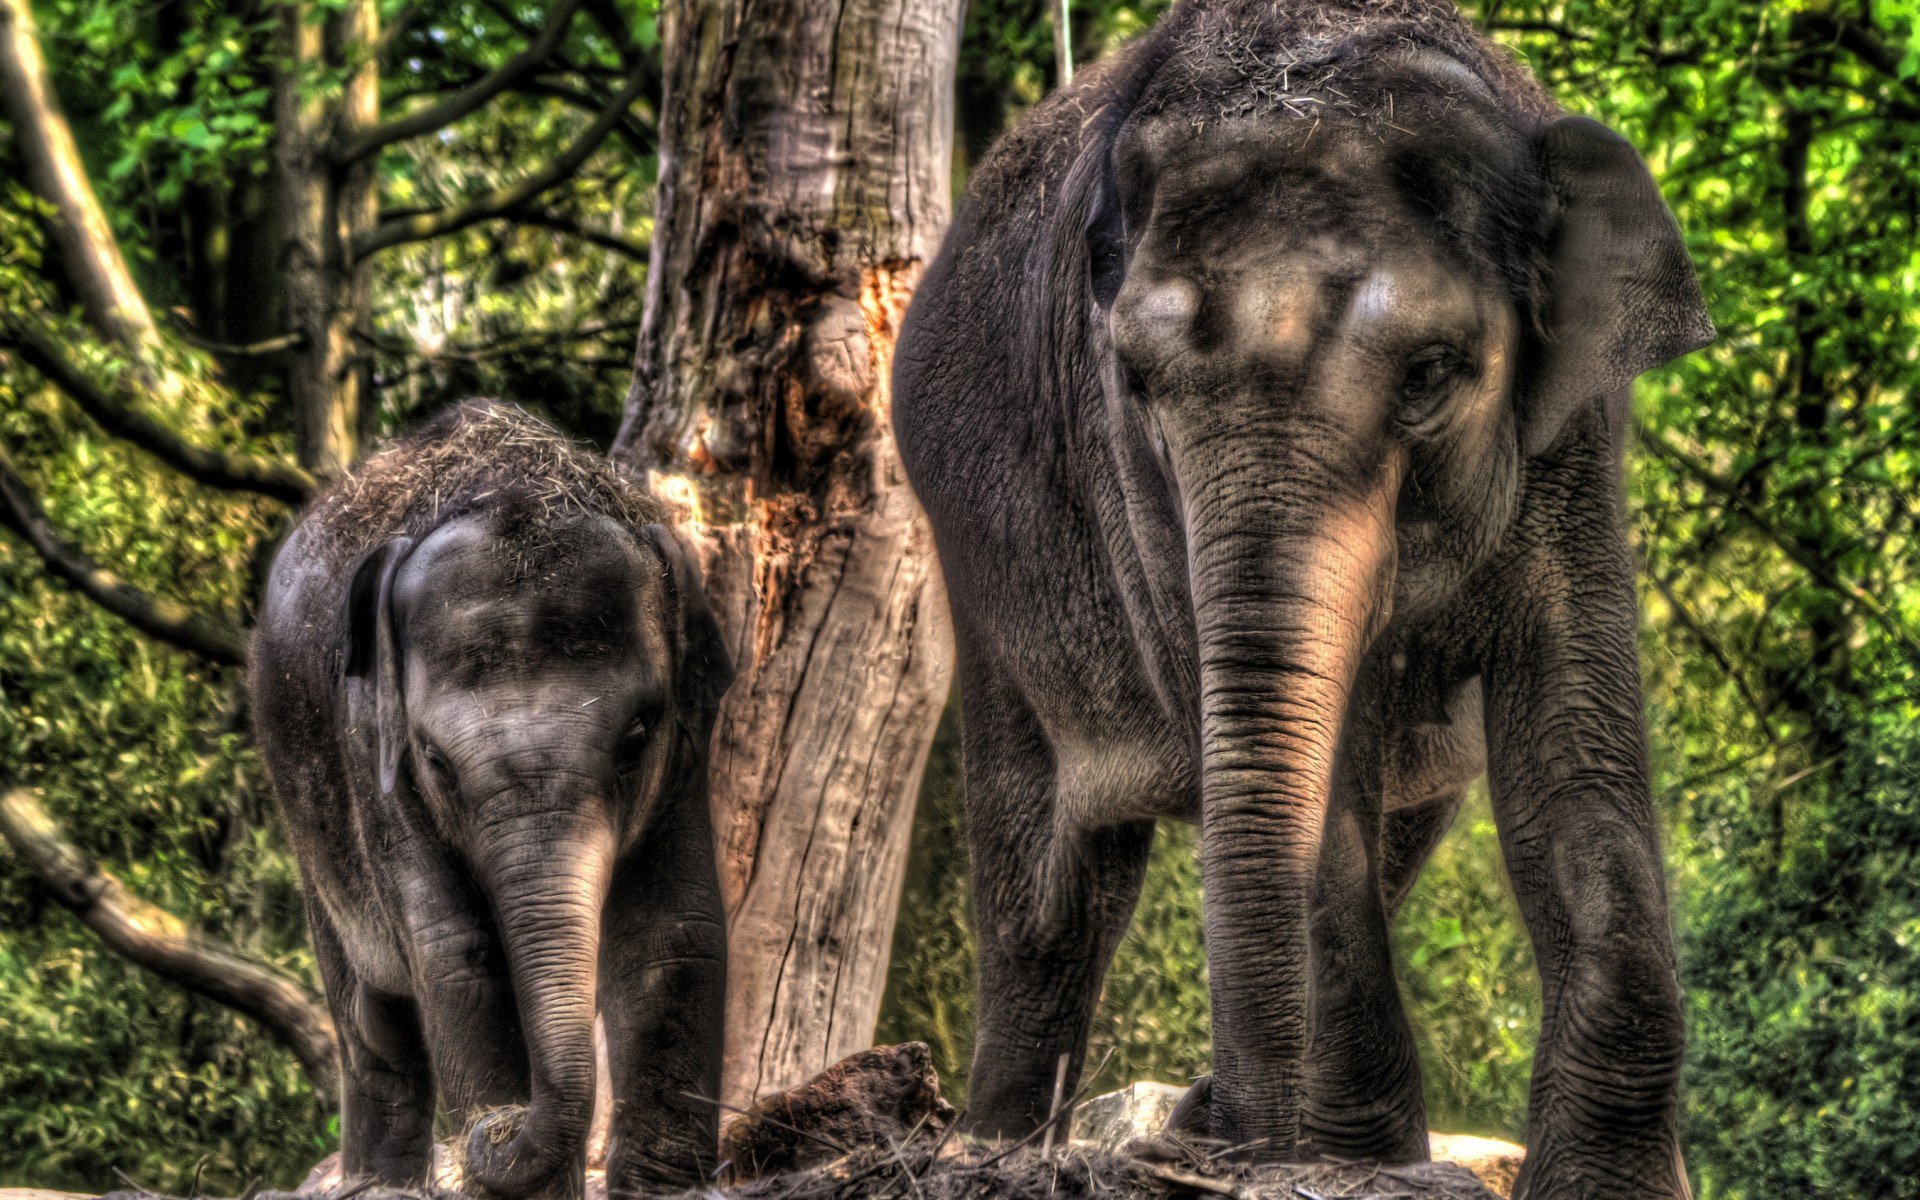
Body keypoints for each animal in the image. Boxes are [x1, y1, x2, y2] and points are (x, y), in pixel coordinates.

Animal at [250, 400, 734, 1197]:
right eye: (437, 762)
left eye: (638, 735)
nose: (492, 1128)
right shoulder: (372, 755)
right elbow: (458, 952)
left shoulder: (686, 755)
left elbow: (673, 930)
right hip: (305, 828)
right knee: (371, 1024)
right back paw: (377, 1184)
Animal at [891, 1, 1713, 1196]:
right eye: (1136, 384)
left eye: (1432, 372)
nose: (1244, 1139)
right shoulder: (1134, 494)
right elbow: (1333, 789)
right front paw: (1361, 1164)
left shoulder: (1573, 443)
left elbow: (1571, 750)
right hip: (981, 573)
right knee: (1053, 883)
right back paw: (1000, 1144)